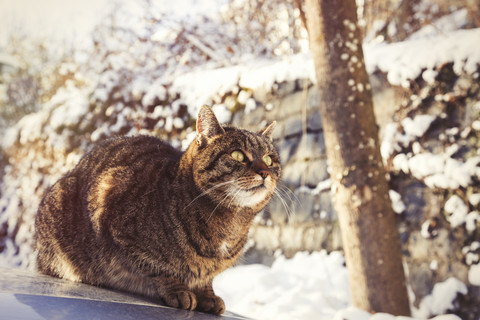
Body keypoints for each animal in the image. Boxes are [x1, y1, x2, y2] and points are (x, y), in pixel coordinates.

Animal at [34, 105, 282, 316]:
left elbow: (205, 279)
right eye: (238, 155)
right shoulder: (117, 221)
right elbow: (157, 268)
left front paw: (207, 295)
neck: (229, 222)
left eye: (270, 159)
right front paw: (179, 290)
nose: (264, 172)